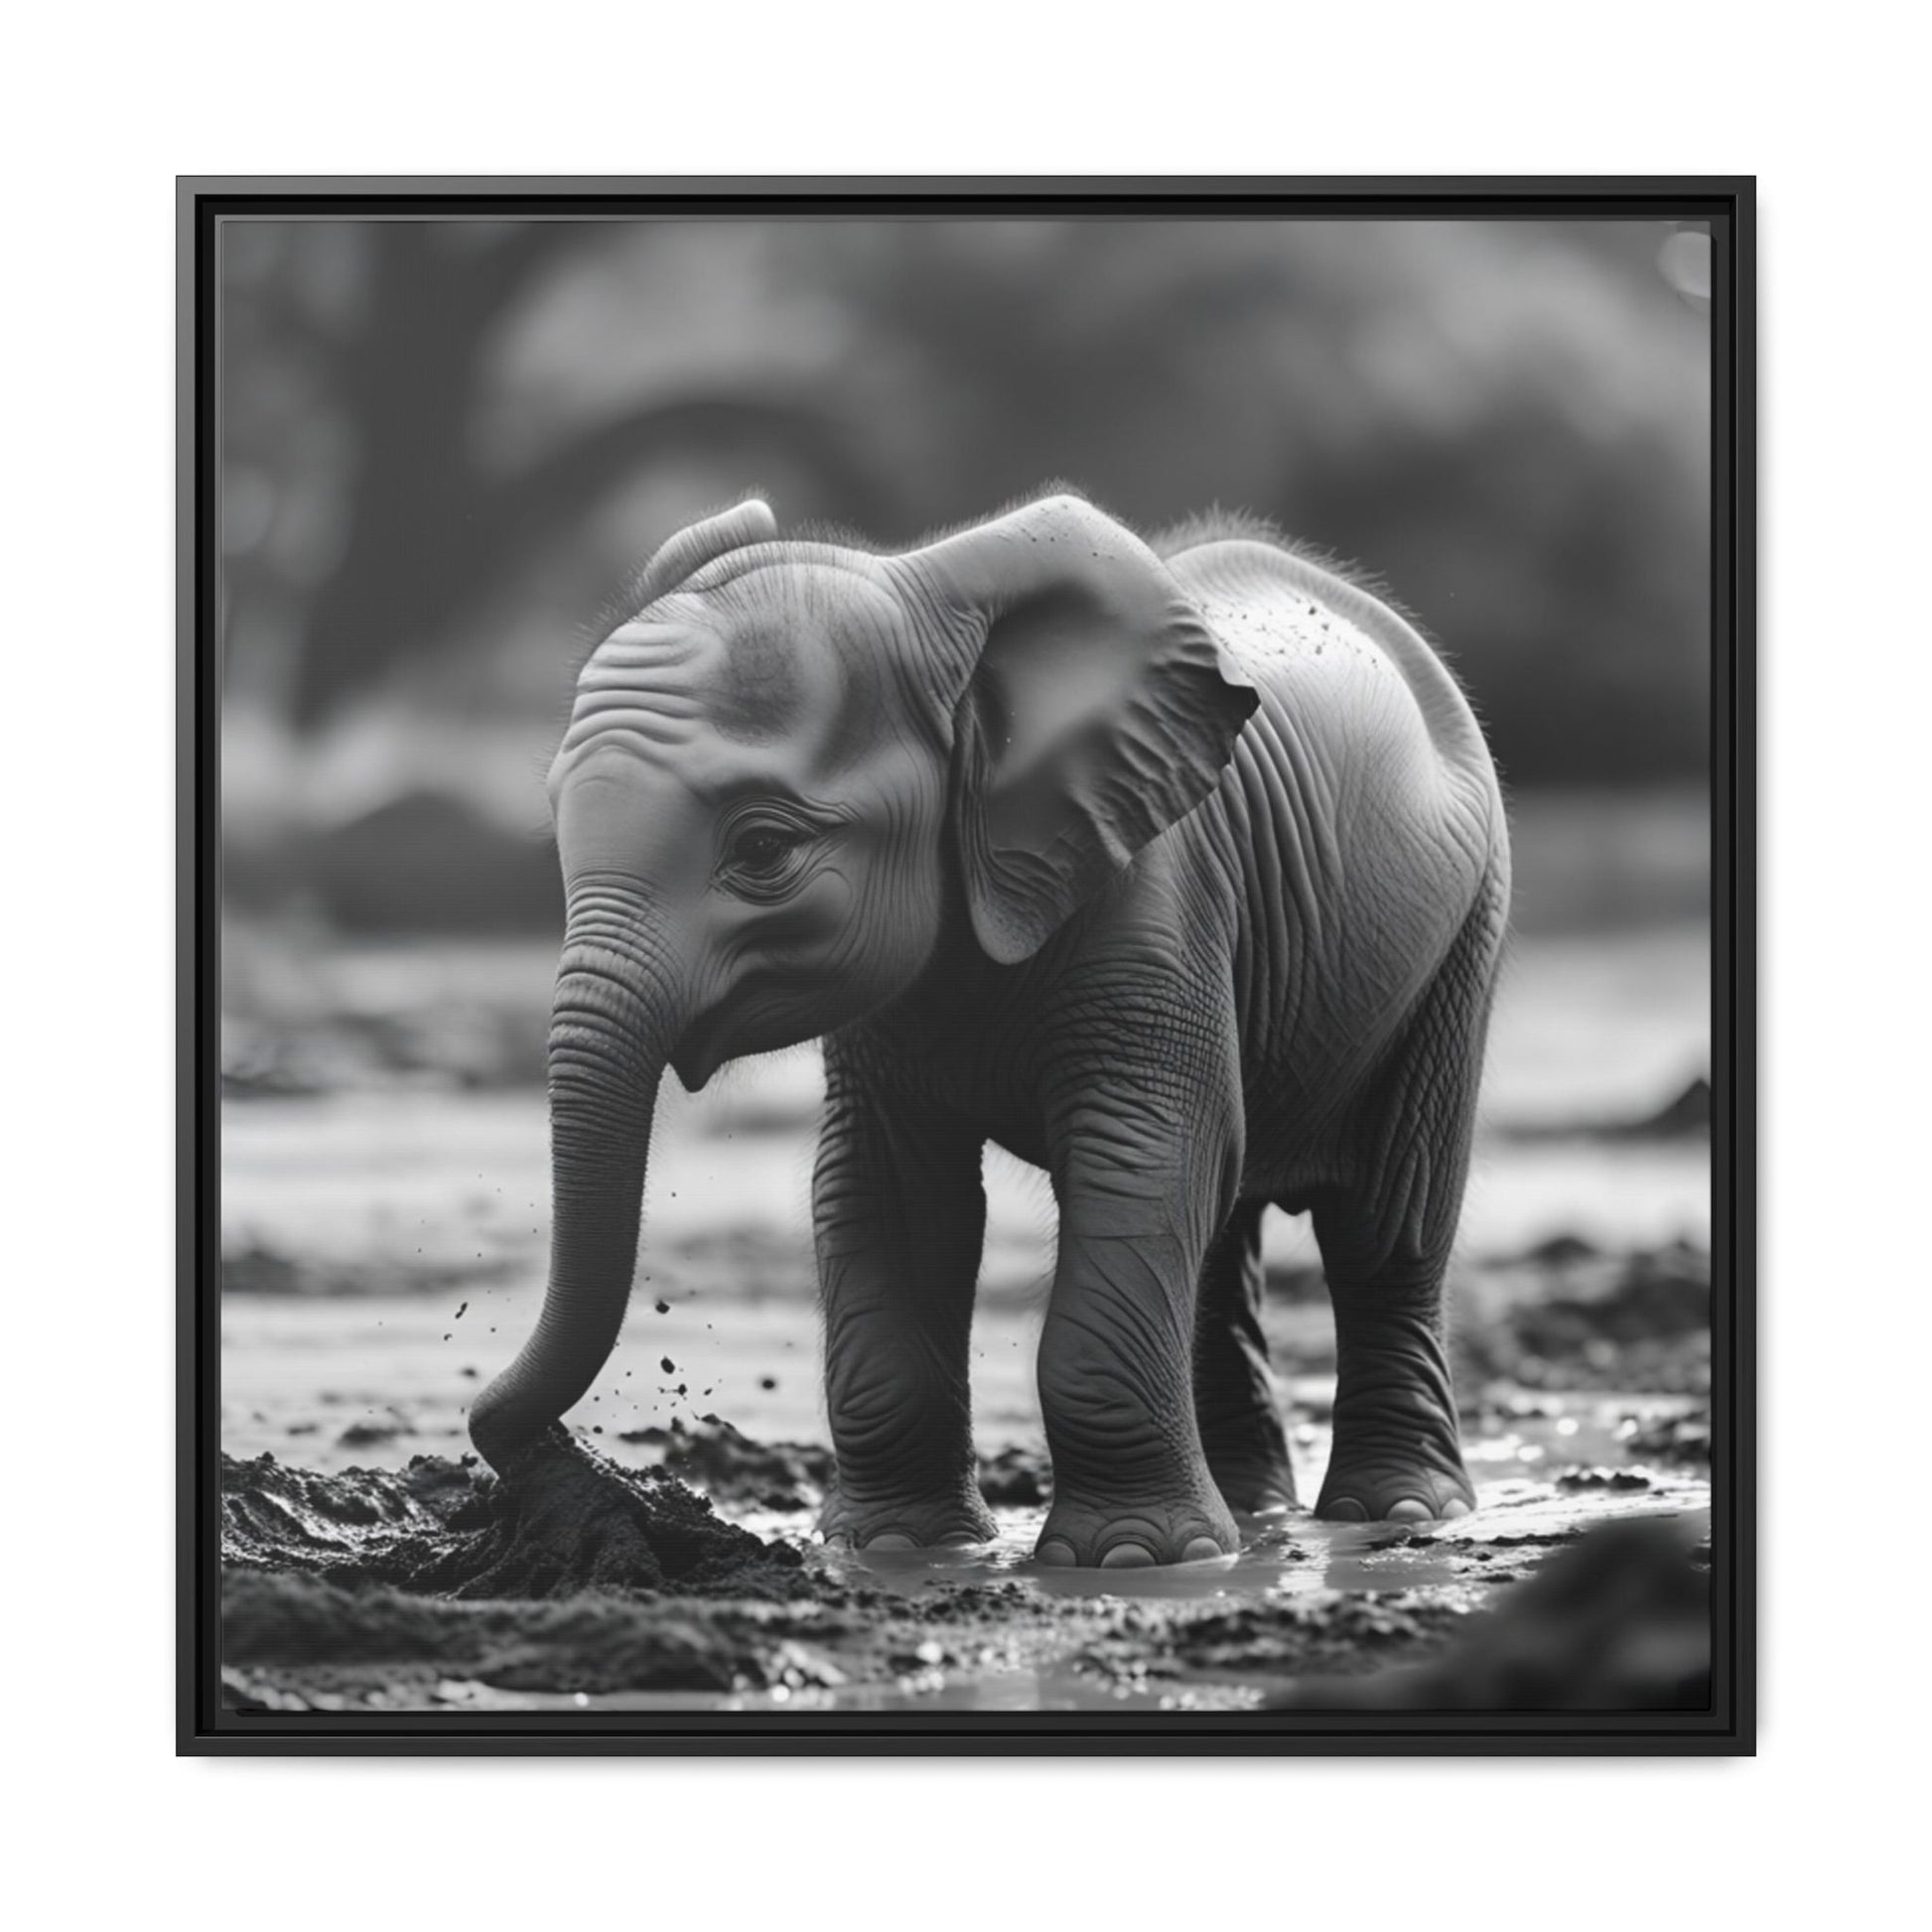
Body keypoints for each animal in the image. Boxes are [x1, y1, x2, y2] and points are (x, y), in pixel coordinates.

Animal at [468, 489, 1510, 1569]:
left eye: (761, 848)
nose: (557, 1463)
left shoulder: (1157, 894)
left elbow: (1141, 1155)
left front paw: (1130, 1559)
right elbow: (886, 1191)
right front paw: (896, 1548)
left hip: (1462, 932)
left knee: (1385, 1222)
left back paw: (1396, 1511)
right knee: (1225, 1233)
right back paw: (1253, 1515)